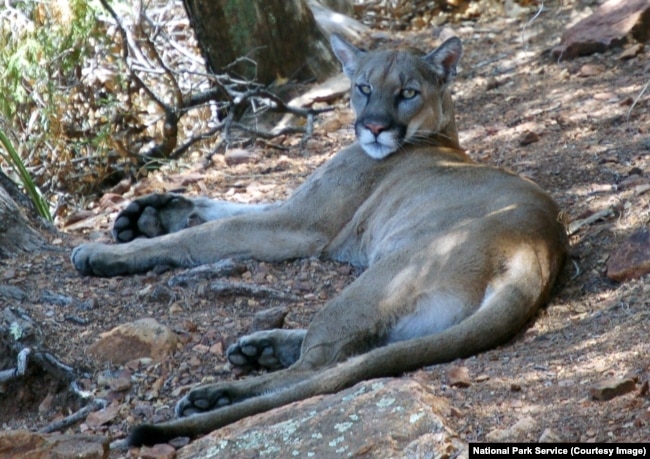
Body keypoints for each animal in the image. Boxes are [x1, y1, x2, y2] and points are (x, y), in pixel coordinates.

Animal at [72, 34, 568, 448]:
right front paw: (148, 213)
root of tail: (537, 249)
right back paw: (257, 347)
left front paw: (105, 251)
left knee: (318, 368)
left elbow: (211, 232)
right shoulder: (293, 210)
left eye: (407, 93)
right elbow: (226, 208)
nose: (374, 127)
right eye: (364, 87)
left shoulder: (301, 223)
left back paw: (216, 394)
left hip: (381, 279)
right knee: (352, 352)